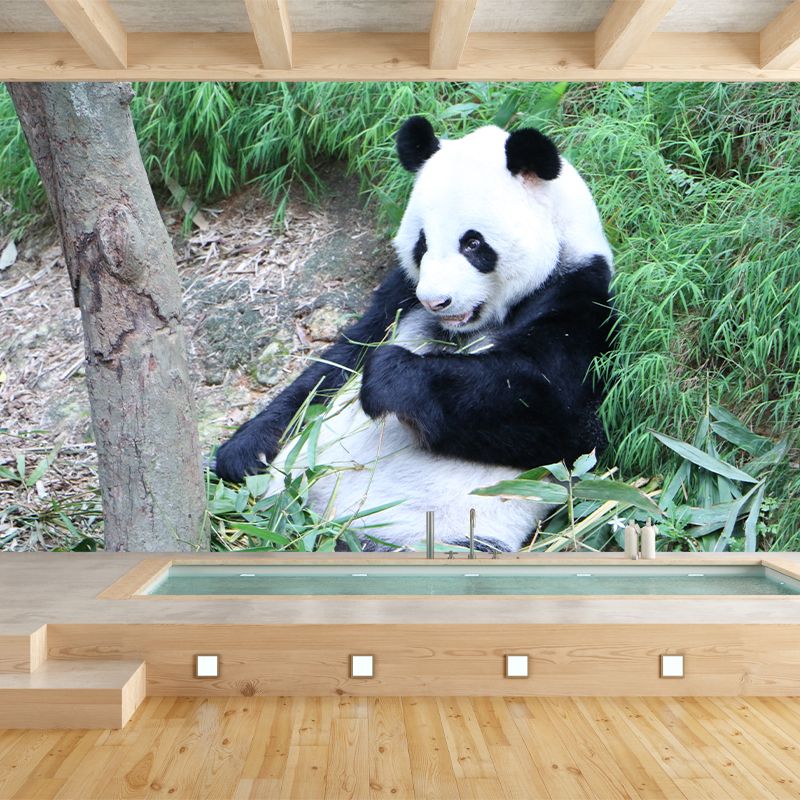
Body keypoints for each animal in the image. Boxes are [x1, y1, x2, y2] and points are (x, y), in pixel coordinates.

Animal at [213, 116, 615, 552]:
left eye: (473, 243)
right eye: (422, 243)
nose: (436, 301)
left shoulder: (578, 297)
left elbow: (564, 423)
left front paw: (391, 378)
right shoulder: (399, 296)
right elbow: (332, 368)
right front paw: (244, 450)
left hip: (449, 536)